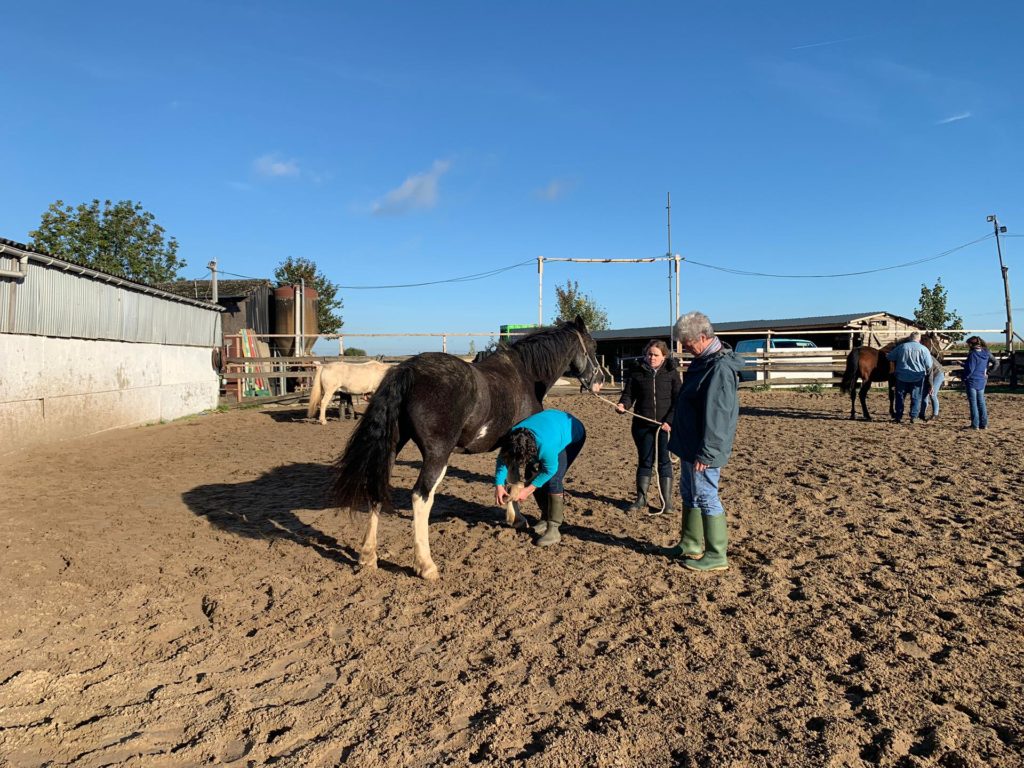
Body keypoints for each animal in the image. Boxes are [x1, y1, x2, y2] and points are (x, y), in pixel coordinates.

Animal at [332, 317, 604, 580]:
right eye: (593, 346)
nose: (600, 381)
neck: (524, 374)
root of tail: (407, 370)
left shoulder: (510, 445)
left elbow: (510, 479)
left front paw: (515, 517)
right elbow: (517, 481)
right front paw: (517, 517)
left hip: (391, 447)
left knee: (377, 487)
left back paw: (368, 556)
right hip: (438, 455)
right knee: (421, 497)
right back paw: (426, 566)